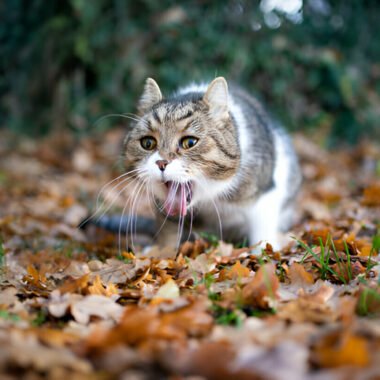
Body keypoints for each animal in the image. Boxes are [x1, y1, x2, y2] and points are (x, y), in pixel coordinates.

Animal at [118, 76, 300, 249]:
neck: (210, 197)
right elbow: (168, 229)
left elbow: (262, 231)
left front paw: (264, 251)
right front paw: (161, 251)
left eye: (190, 142)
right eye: (148, 143)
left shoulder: (265, 192)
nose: (161, 163)